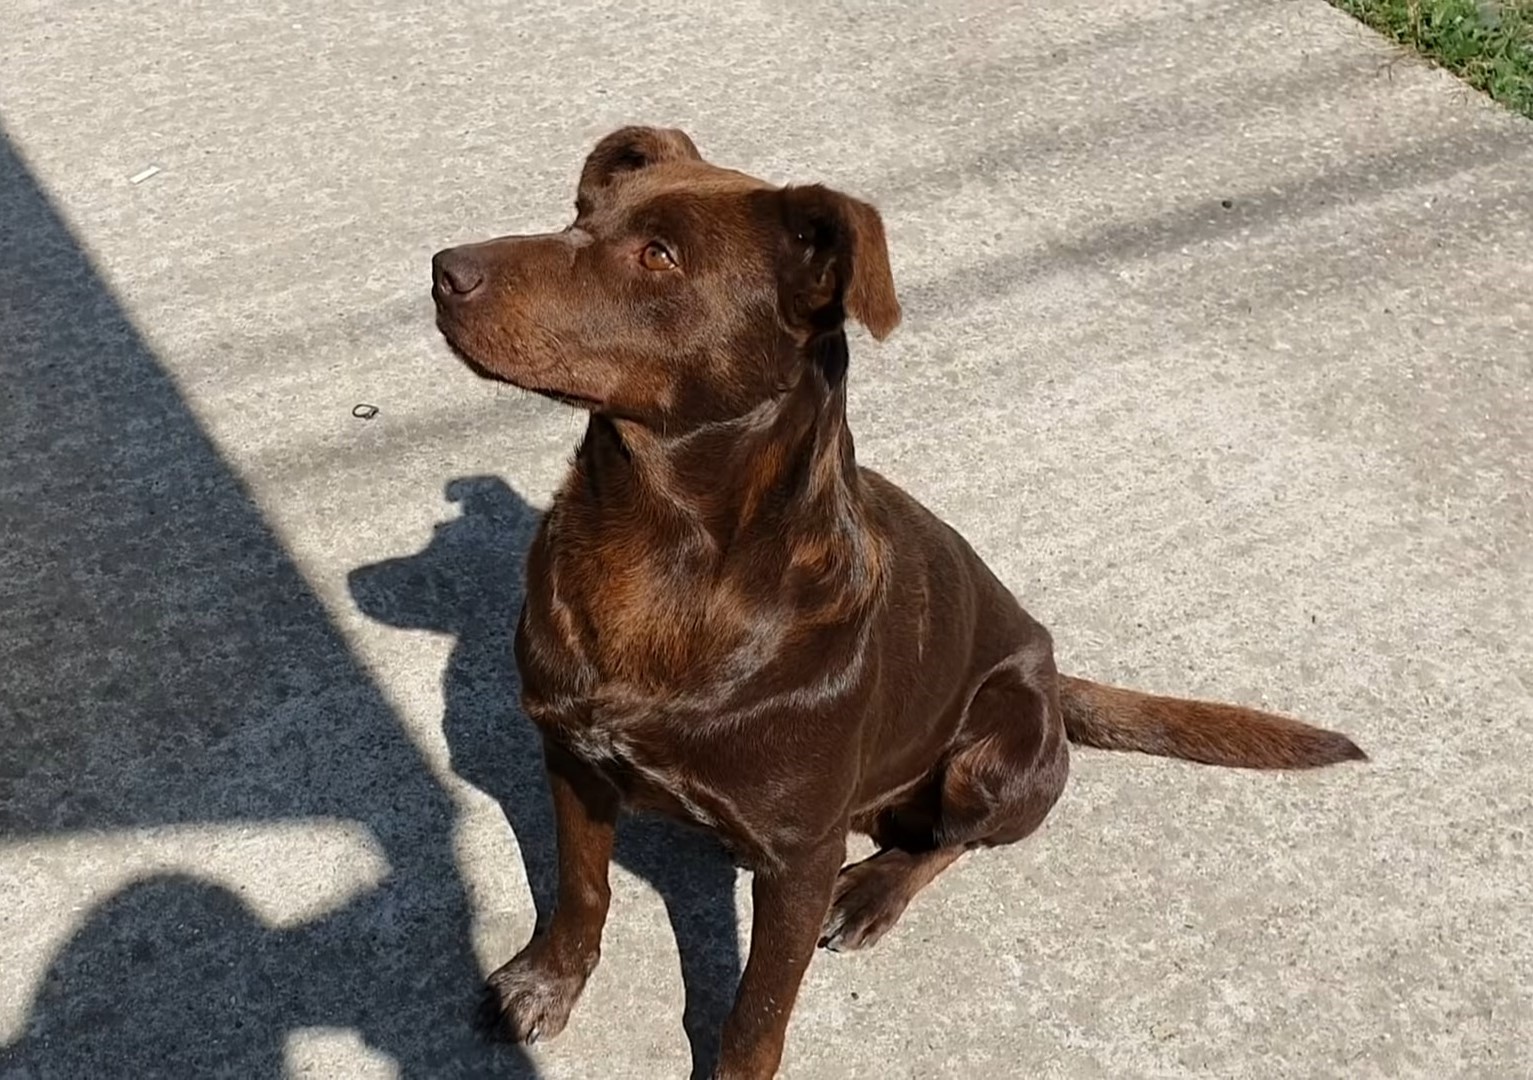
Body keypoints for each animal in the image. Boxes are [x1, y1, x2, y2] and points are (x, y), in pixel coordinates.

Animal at [432, 128, 1367, 1078]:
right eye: (579, 215)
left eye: (659, 255)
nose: (443, 270)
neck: (656, 548)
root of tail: (1053, 670)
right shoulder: (571, 759)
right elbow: (579, 890)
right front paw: (546, 982)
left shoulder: (800, 860)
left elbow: (756, 1012)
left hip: (993, 749)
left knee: (949, 837)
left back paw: (875, 890)